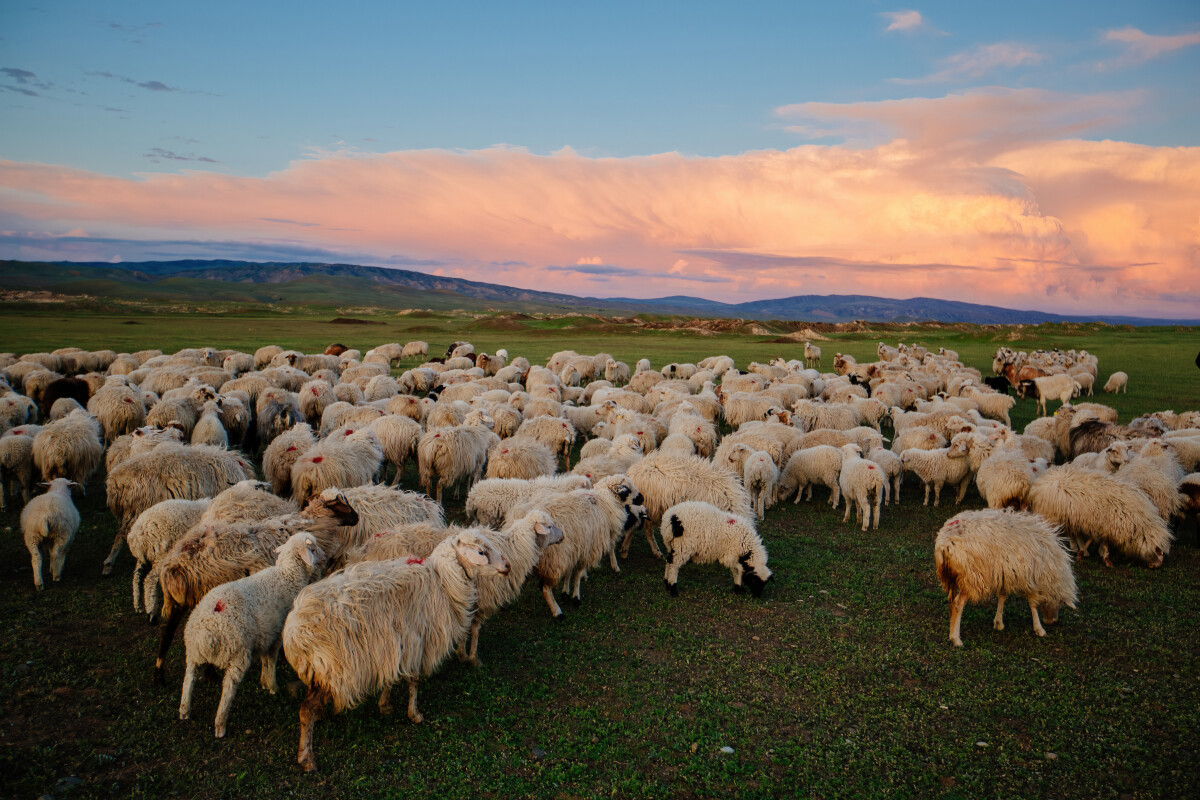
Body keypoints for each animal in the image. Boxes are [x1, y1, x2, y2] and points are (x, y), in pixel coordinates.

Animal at [177, 532, 328, 738]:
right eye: (313, 548)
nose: (325, 556)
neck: (287, 576)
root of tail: (204, 633)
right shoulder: (276, 635)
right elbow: (271, 661)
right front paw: (272, 687)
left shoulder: (265, 634)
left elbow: (265, 660)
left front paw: (264, 682)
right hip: (238, 654)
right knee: (228, 689)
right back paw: (220, 726)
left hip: (193, 655)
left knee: (188, 680)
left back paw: (184, 711)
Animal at [285, 527, 511, 772]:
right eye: (481, 552)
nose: (507, 566)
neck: (442, 580)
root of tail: (293, 632)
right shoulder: (418, 643)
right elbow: (413, 681)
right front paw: (415, 714)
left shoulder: (395, 646)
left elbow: (391, 678)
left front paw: (385, 705)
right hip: (329, 670)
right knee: (305, 711)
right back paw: (307, 758)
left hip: (319, 674)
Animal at [931, 510, 1084, 647]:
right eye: (1060, 603)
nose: (1052, 621)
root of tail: (944, 542)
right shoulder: (1031, 577)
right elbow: (1033, 604)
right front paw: (1039, 629)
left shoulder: (1005, 573)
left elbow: (1002, 596)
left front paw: (998, 622)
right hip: (972, 577)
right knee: (958, 603)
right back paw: (956, 639)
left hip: (950, 577)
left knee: (951, 601)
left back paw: (951, 630)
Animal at [1032, 462, 1171, 568]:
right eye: (1158, 551)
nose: (1156, 566)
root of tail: (1044, 477)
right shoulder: (1105, 526)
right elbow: (1102, 543)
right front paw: (1106, 559)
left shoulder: (1101, 526)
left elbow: (1094, 539)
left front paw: (1083, 553)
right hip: (1052, 516)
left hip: (1071, 517)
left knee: (1073, 532)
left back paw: (1077, 547)